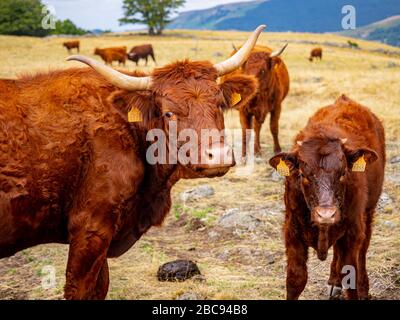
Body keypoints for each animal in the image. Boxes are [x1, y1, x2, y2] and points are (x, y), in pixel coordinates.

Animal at [270, 95, 386, 300]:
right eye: (303, 175)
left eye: (343, 173)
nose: (326, 215)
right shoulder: (292, 231)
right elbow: (296, 279)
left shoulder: (352, 232)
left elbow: (350, 275)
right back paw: (334, 281)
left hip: (369, 211)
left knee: (363, 249)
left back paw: (362, 286)